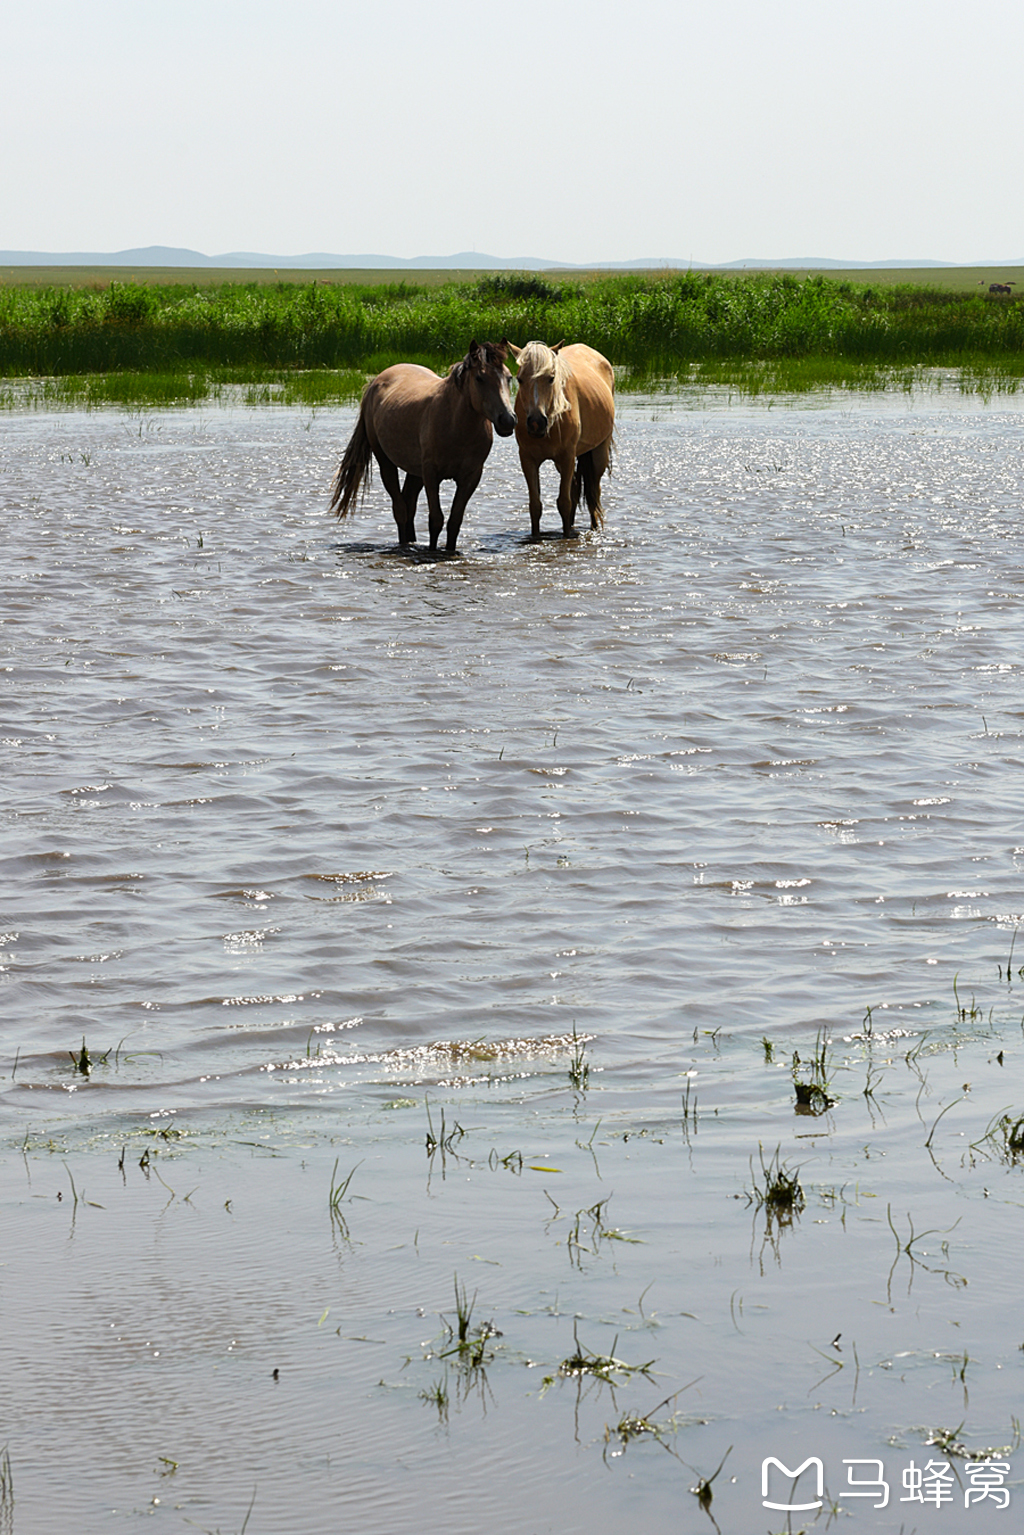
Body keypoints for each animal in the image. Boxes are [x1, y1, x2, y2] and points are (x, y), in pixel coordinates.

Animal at [330, 340, 515, 552]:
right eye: (479, 378)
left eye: (509, 377)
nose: (508, 420)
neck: (454, 423)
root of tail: (375, 382)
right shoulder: (431, 474)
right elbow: (436, 520)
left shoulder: (471, 477)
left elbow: (455, 521)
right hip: (386, 463)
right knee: (400, 509)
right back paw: (404, 544)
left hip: (415, 472)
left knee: (408, 503)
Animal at [509, 342, 617, 540]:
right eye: (519, 379)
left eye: (551, 378)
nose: (536, 423)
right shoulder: (528, 459)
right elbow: (535, 505)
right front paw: (535, 538)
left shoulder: (567, 456)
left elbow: (564, 503)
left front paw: (566, 537)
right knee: (574, 488)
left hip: (599, 453)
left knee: (594, 491)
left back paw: (594, 528)